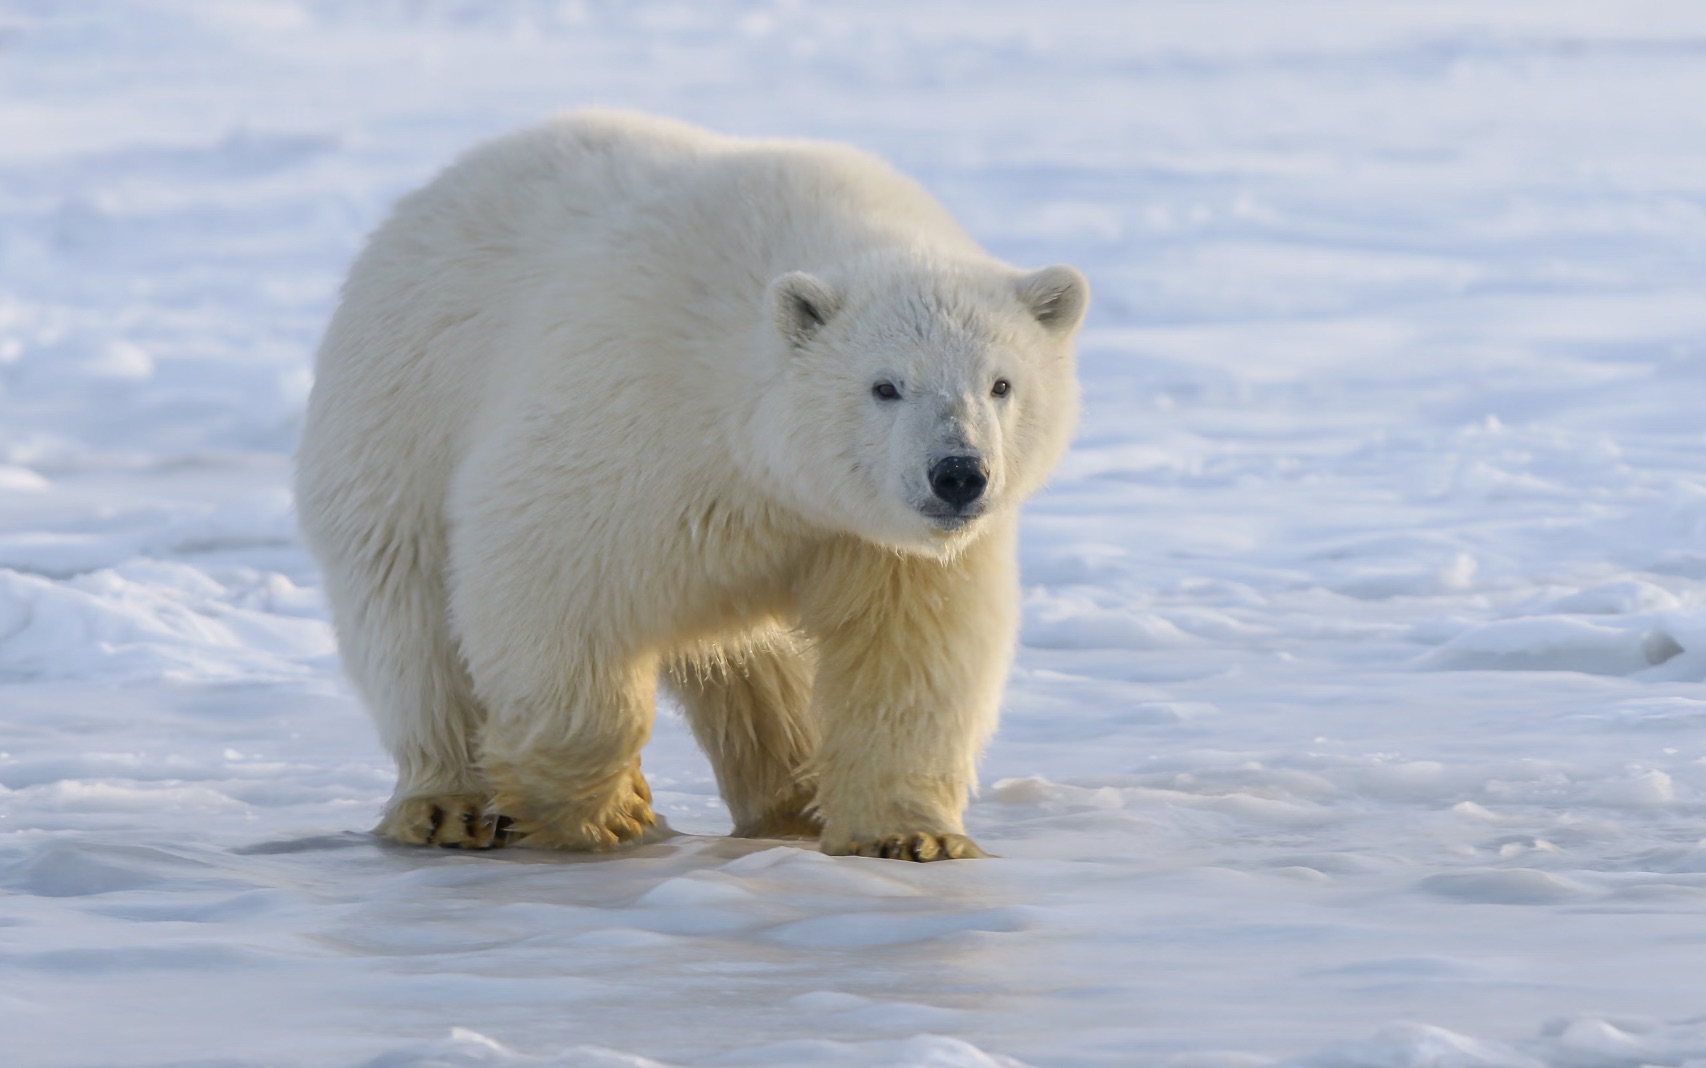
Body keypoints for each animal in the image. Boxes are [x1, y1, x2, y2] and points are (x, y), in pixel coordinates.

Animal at [295, 110, 1088, 861]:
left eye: (1001, 384)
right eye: (885, 385)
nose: (958, 474)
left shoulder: (871, 539)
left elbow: (910, 655)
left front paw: (911, 836)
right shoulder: (631, 415)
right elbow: (545, 576)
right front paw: (607, 809)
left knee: (757, 671)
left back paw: (790, 799)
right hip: (400, 417)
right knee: (411, 621)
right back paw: (447, 805)